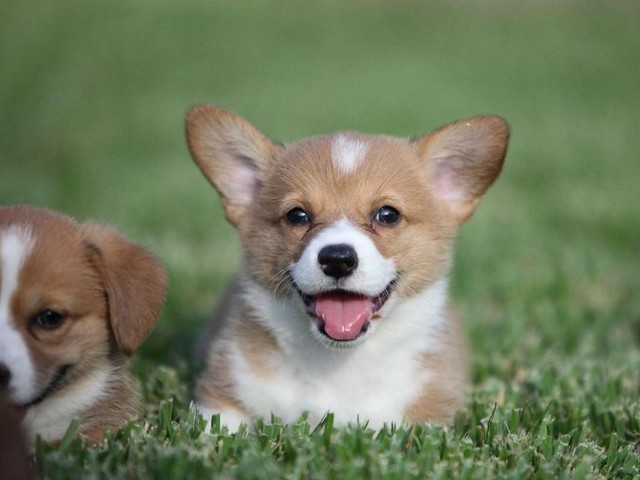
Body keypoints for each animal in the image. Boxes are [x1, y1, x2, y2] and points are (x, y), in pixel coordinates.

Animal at [186, 105, 510, 432]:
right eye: (297, 215)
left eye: (388, 214)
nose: (338, 259)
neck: (339, 363)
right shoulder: (223, 393)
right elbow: (217, 429)